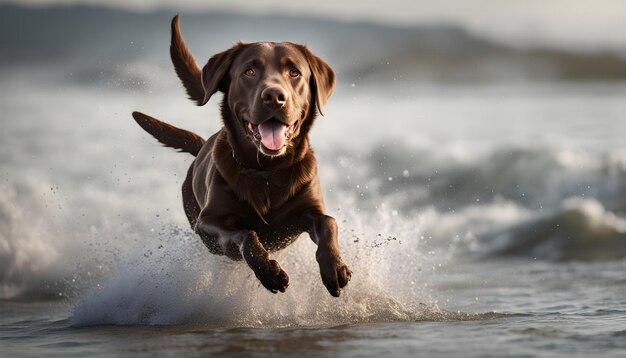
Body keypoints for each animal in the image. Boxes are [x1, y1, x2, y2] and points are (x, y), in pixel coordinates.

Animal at [130, 15, 352, 296]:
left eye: (294, 72)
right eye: (249, 71)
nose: (274, 96)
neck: (267, 171)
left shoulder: (309, 209)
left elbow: (328, 223)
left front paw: (334, 267)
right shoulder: (208, 223)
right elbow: (245, 235)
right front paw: (270, 272)